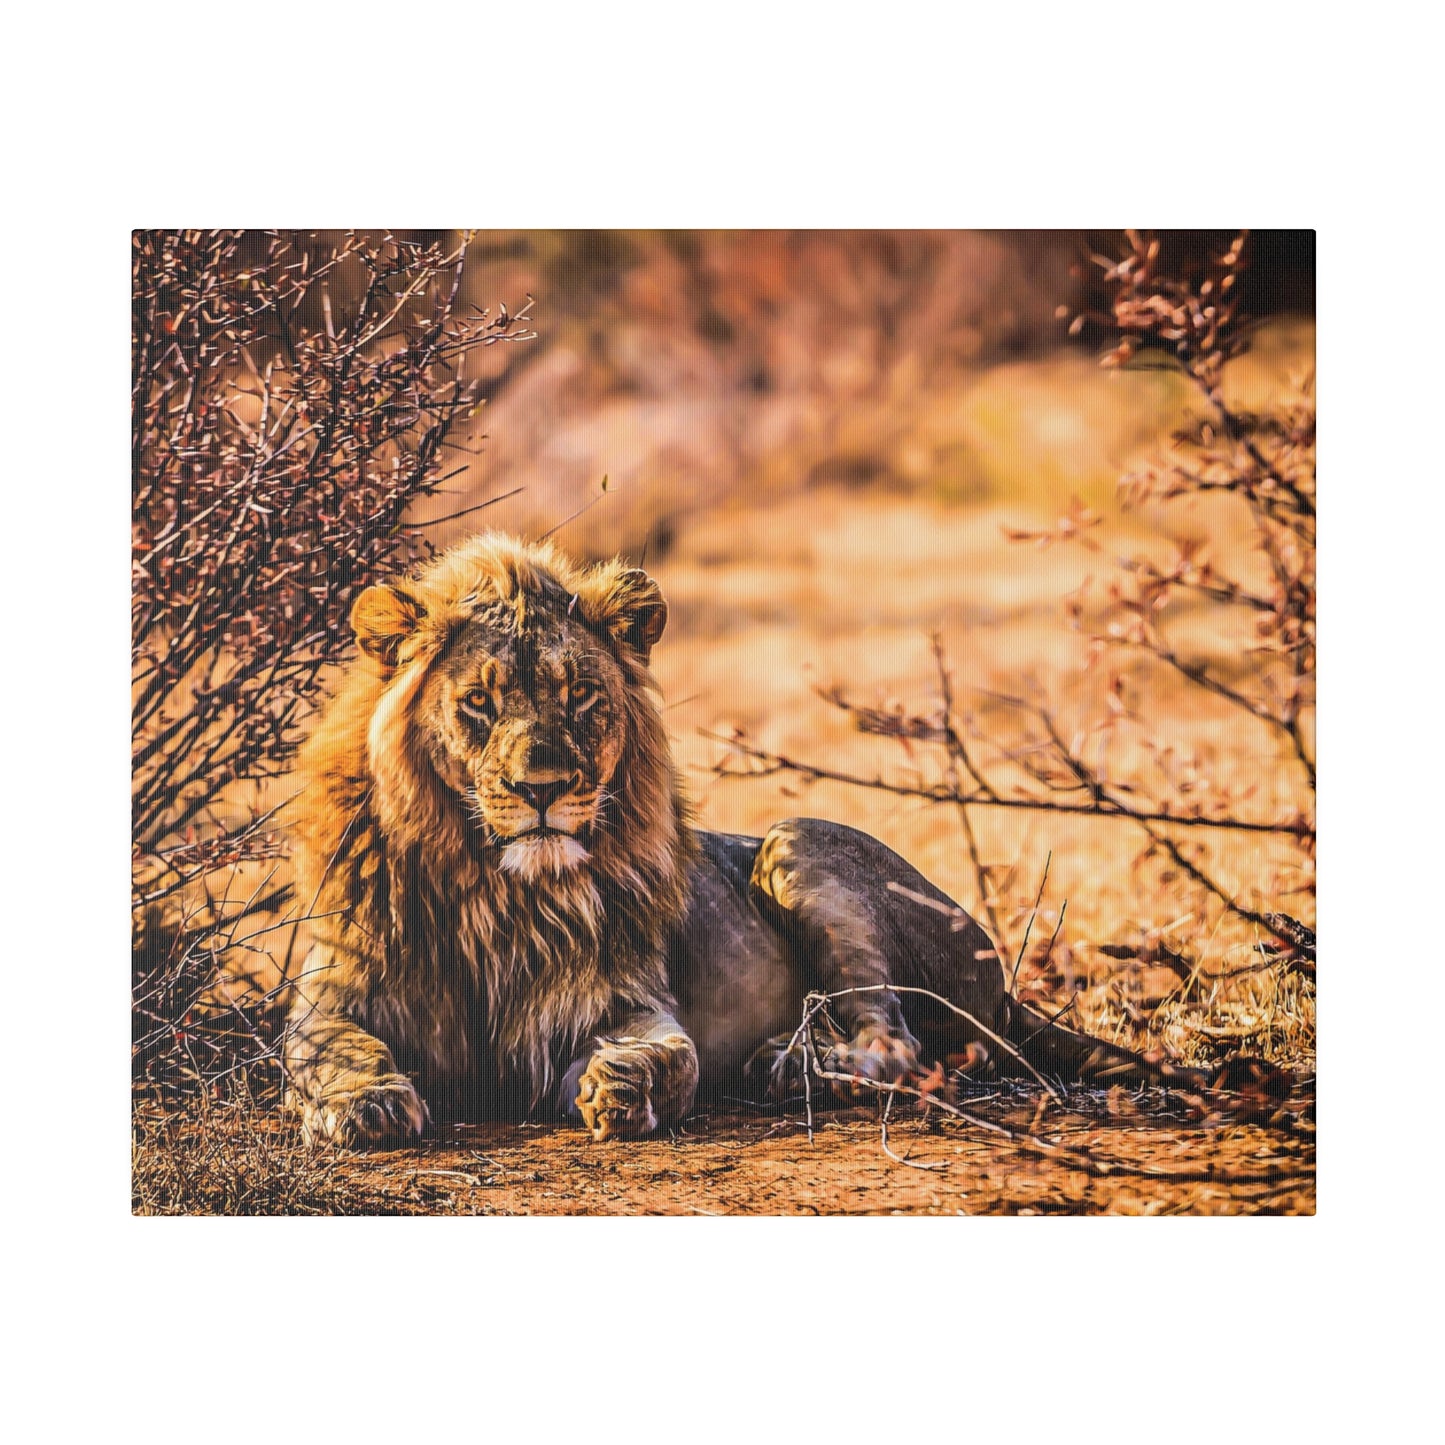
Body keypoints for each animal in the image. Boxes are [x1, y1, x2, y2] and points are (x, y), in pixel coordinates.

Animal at [281, 525, 1208, 1144]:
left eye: (579, 696)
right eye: (478, 701)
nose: (542, 790)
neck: (492, 888)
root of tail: (1003, 982)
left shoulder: (621, 1002)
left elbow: (672, 1055)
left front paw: (623, 1087)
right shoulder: (334, 993)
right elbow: (326, 1050)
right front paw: (365, 1103)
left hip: (797, 844)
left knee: (898, 1043)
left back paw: (790, 1065)